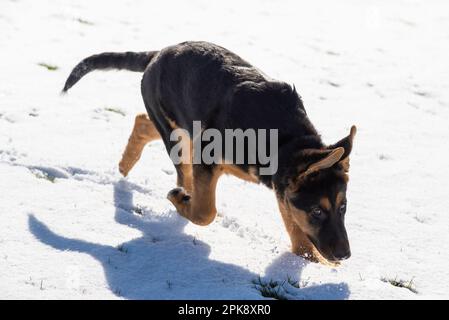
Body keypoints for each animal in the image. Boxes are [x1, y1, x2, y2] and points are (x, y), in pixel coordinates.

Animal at [62, 40, 354, 264]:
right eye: (317, 211)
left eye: (343, 207)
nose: (345, 256)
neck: (286, 142)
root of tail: (159, 53)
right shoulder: (208, 156)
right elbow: (205, 212)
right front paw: (181, 200)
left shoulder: (281, 186)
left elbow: (294, 224)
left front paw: (311, 260)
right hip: (178, 136)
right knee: (180, 168)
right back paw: (178, 196)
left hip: (182, 128)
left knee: (143, 122)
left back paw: (126, 164)